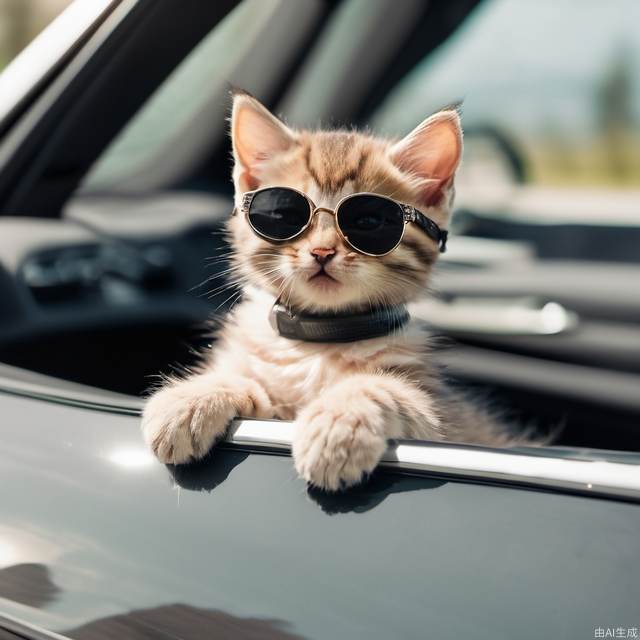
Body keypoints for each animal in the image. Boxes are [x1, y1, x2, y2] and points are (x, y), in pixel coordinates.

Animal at [141, 90, 540, 490]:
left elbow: (381, 388)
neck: (318, 339)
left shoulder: (442, 422)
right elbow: (243, 378)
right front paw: (193, 397)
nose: (322, 251)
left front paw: (339, 426)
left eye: (369, 221)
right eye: (283, 215)